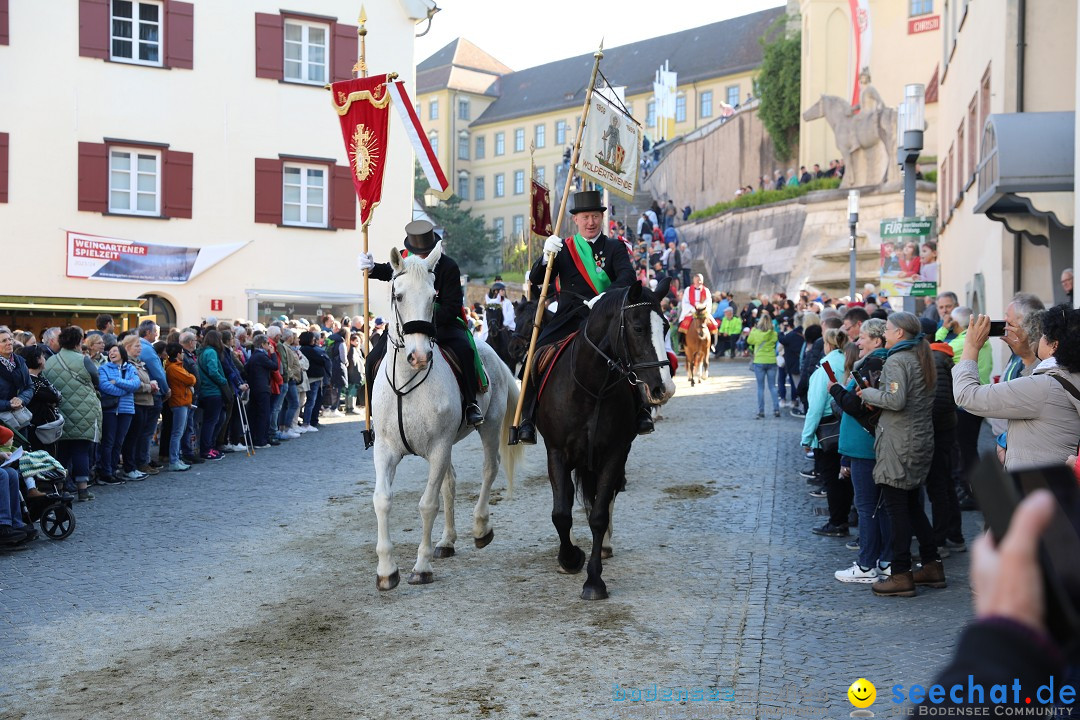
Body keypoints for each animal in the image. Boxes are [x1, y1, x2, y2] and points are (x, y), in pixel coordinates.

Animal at [371, 241, 522, 591]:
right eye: (399, 296)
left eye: (433, 297)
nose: (418, 356)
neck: (407, 383)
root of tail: (494, 353)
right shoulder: (385, 450)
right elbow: (382, 500)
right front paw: (387, 570)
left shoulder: (438, 447)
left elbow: (428, 504)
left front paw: (421, 566)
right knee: (449, 483)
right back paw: (447, 541)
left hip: (489, 427)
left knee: (489, 468)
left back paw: (480, 527)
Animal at [537, 278, 678, 600]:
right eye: (638, 328)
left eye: (665, 327)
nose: (664, 388)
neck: (591, 388)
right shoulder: (557, 452)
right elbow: (561, 512)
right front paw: (570, 558)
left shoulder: (615, 452)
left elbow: (599, 514)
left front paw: (594, 580)